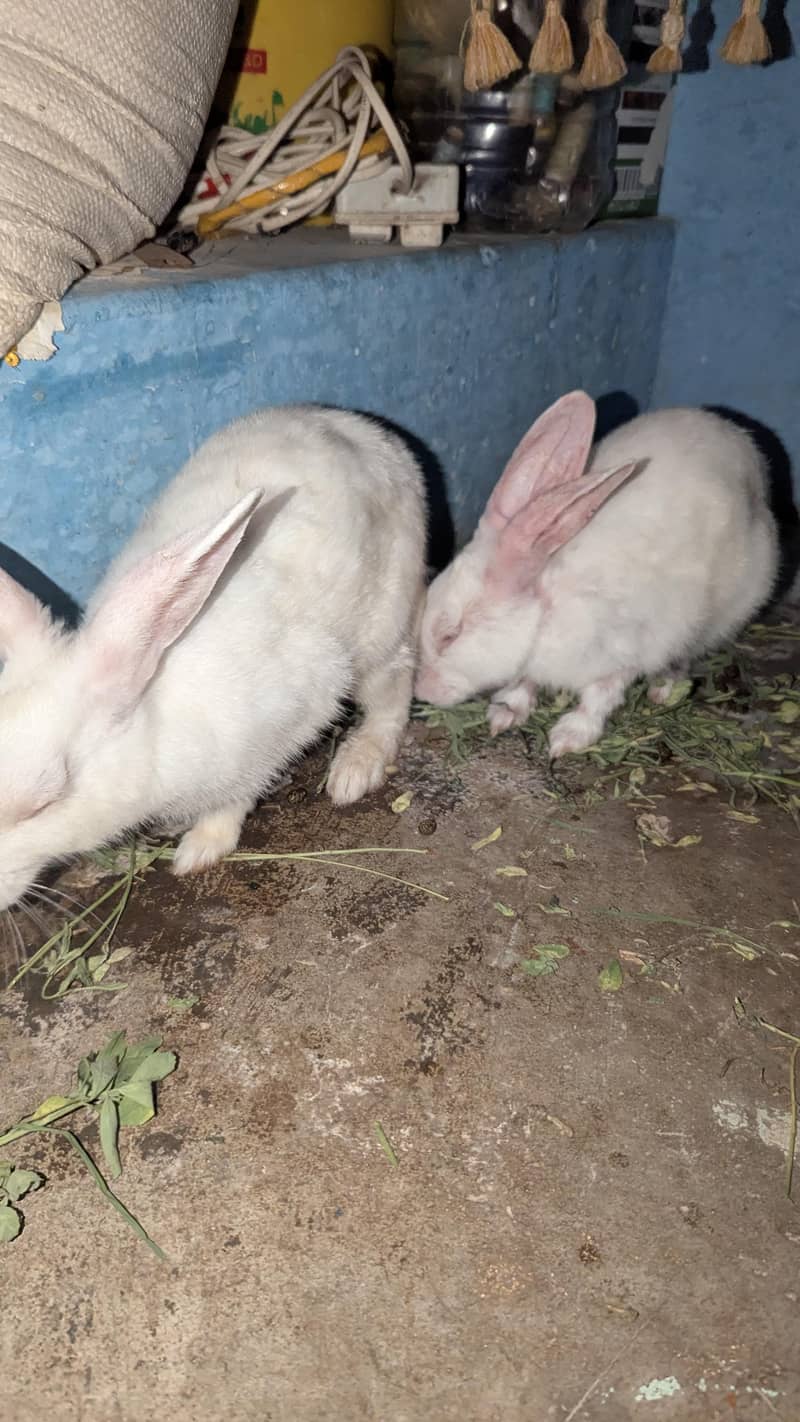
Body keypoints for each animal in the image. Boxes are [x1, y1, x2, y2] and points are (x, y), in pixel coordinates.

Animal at [0, 404, 427, 912]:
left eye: (45, 803)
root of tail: (376, 435)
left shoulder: (275, 735)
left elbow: (231, 802)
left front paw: (199, 849)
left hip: (381, 631)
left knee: (394, 691)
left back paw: (354, 771)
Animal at [415, 391, 778, 759]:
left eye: (450, 635)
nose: (422, 692)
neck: (546, 610)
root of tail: (747, 447)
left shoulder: (624, 655)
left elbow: (598, 698)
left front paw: (567, 739)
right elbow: (524, 683)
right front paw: (505, 713)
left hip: (716, 617)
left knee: (686, 655)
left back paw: (663, 689)